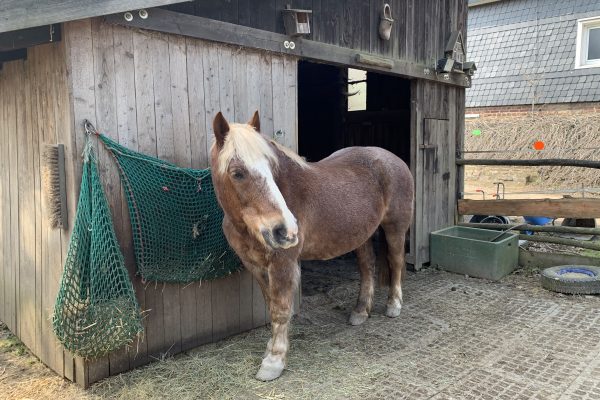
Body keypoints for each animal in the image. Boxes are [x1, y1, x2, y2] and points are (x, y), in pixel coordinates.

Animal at [211, 111, 412, 380]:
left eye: (272, 169)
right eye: (237, 173)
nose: (285, 231)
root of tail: (393, 159)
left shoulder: (282, 264)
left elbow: (280, 310)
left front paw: (274, 361)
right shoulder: (256, 266)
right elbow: (271, 305)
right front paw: (271, 349)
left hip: (395, 228)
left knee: (396, 261)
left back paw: (394, 306)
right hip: (361, 234)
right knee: (367, 266)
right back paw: (360, 311)